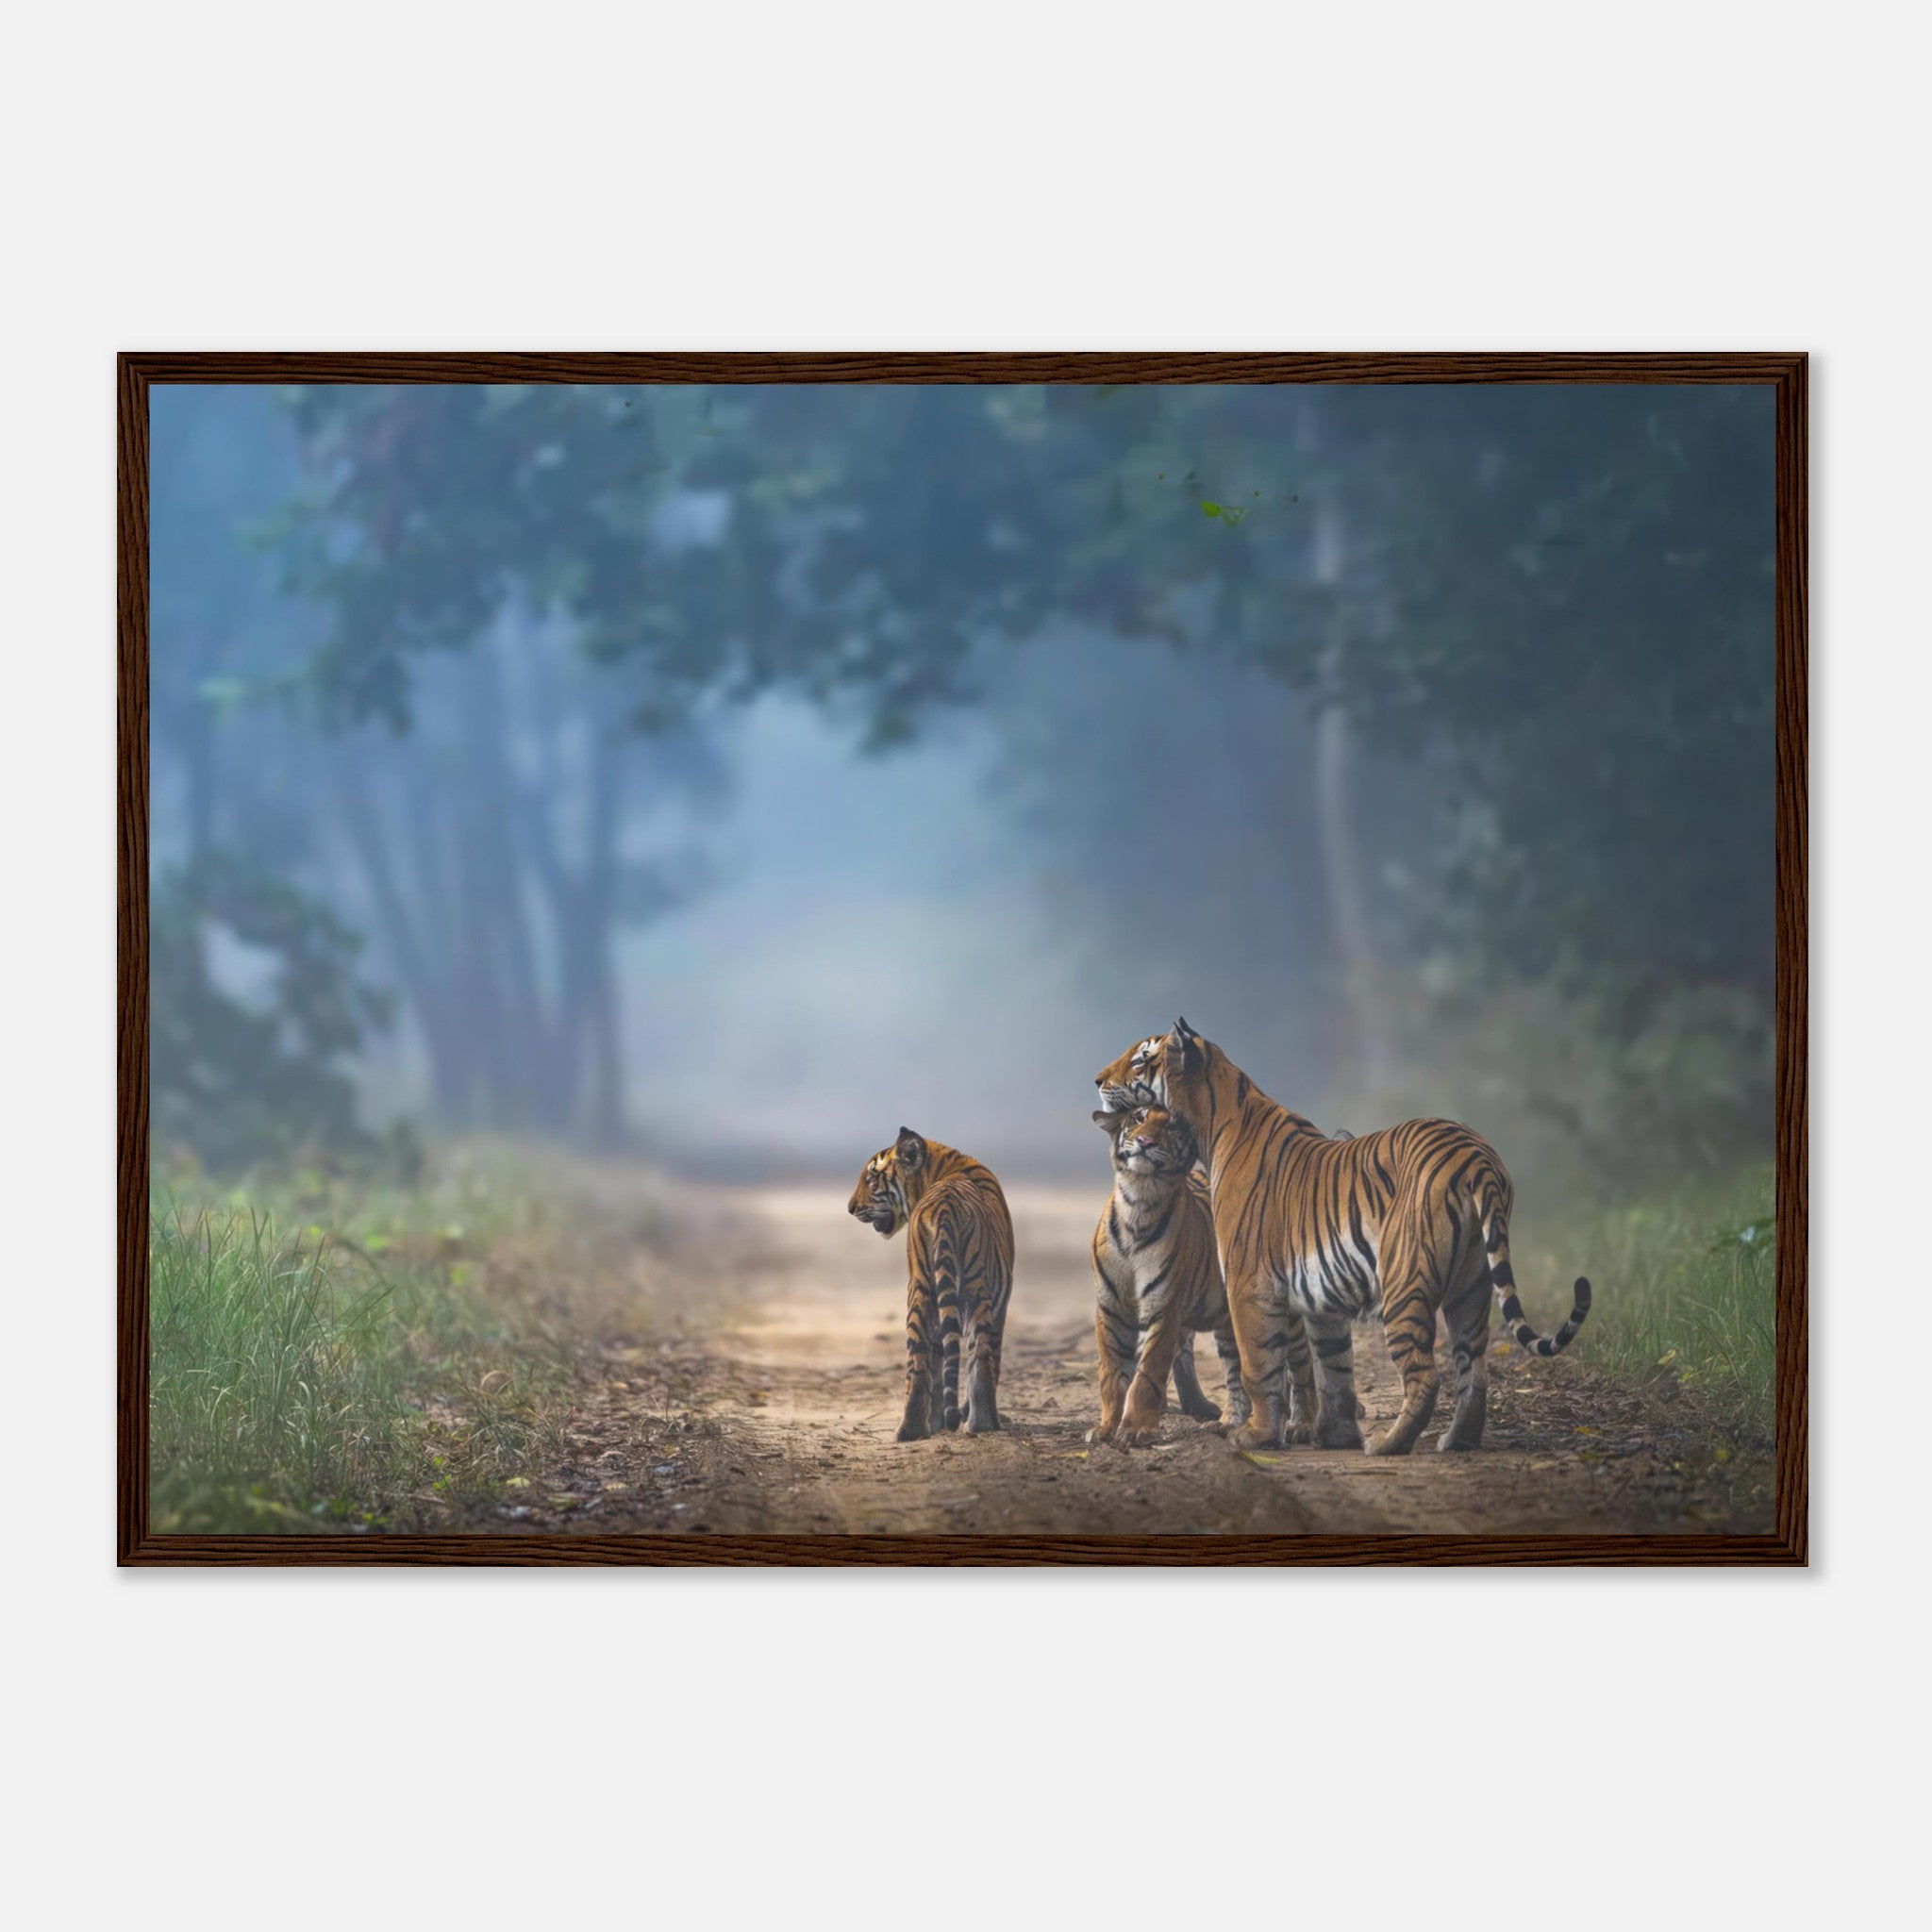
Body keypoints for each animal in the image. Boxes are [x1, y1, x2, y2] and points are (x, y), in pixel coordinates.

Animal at [848, 1126, 1015, 1441]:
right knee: (975, 1357)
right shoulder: (1001, 1304)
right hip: (969, 1288)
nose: (851, 1208)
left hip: (923, 1289)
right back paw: (980, 1423)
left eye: (871, 1179)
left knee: (922, 1359)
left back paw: (911, 1430)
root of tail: (945, 1206)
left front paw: (940, 1422)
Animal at [1089, 1104, 1266, 1447]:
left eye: (1172, 1127)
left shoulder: (1163, 1309)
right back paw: (1229, 1422)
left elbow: (1148, 1373)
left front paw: (1137, 1429)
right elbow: (1112, 1373)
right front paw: (1106, 1428)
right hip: (1227, 1323)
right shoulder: (1111, 1309)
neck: (1139, 1203)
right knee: (1236, 1370)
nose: (1145, 1141)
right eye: (1138, 1118)